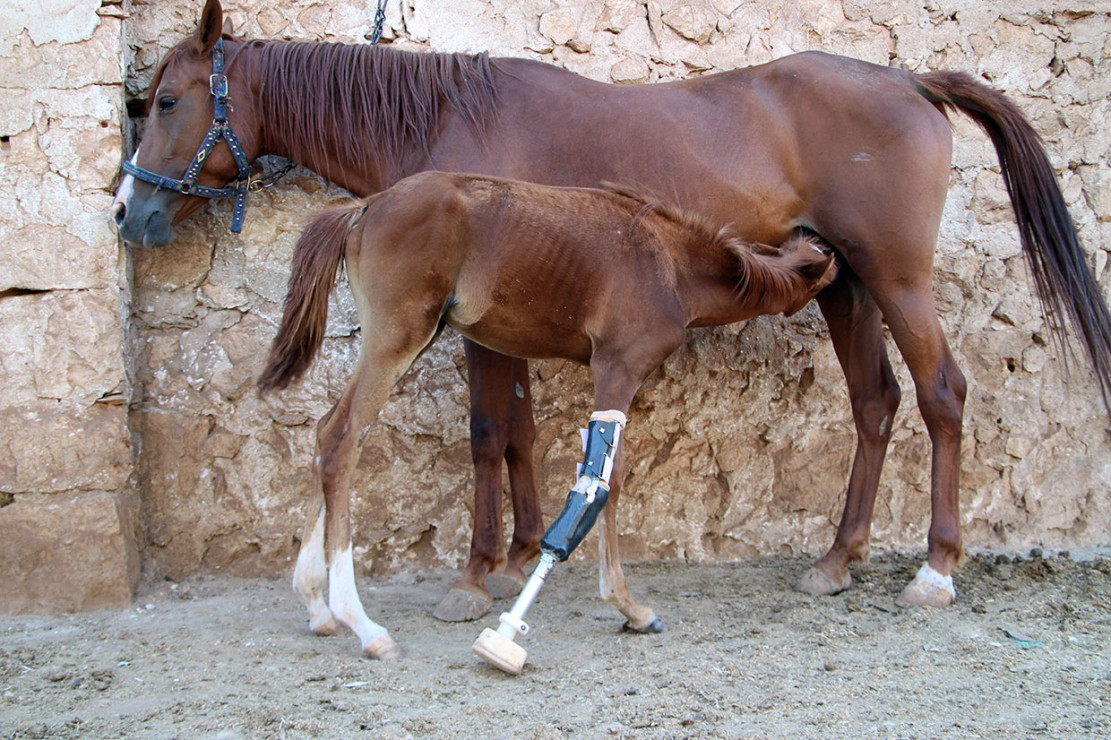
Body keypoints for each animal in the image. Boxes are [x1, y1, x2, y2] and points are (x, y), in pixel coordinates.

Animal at [255, 173, 835, 657]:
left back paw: (317, 607)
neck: (671, 264)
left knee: (327, 432)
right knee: (342, 438)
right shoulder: (617, 368)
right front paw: (628, 607)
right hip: (396, 339)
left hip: (406, 341)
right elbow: (604, 483)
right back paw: (363, 625)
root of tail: (365, 206)